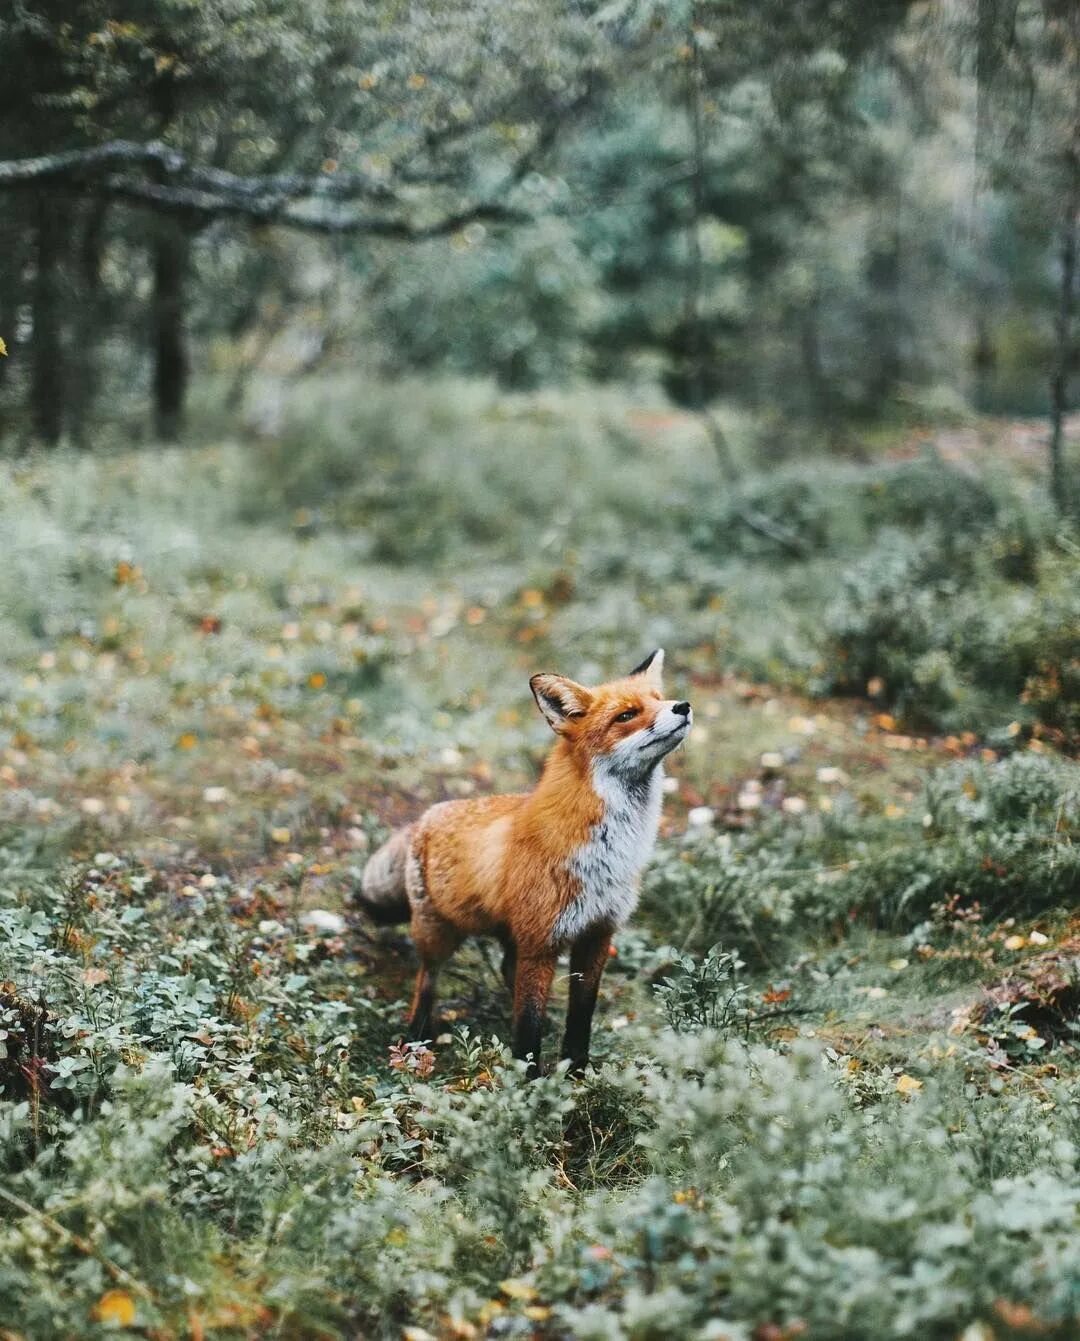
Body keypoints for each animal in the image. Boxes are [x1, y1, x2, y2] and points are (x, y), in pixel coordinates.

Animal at [354, 643, 692, 1072]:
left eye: (659, 699)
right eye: (627, 715)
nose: (682, 706)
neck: (608, 854)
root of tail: (425, 817)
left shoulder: (597, 935)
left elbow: (580, 1018)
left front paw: (577, 1073)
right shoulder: (540, 943)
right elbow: (528, 1028)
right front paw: (529, 1084)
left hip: (507, 935)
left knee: (504, 971)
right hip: (437, 934)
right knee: (426, 981)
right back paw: (416, 1038)